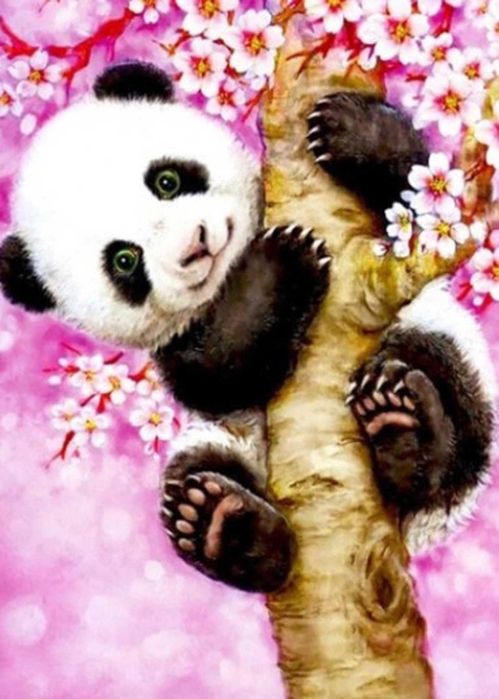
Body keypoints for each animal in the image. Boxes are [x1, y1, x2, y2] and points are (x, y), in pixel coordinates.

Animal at [0, 62, 494, 593]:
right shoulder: (176, 345)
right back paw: (228, 527)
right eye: (124, 260)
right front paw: (281, 263)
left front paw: (347, 128)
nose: (196, 244)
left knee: (442, 381)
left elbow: (424, 200)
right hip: (224, 445)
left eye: (167, 180)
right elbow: (217, 373)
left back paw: (406, 429)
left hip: (450, 353)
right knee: (195, 477)